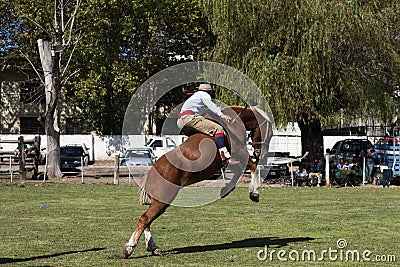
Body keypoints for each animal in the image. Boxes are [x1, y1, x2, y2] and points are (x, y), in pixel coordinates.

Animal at [123, 105, 274, 258]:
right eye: (269, 134)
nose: (260, 153)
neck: (233, 123)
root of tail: (151, 174)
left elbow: (239, 172)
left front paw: (226, 190)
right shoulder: (240, 152)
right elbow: (253, 167)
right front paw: (254, 193)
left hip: (159, 202)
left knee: (147, 221)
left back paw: (153, 247)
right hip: (161, 202)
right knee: (145, 219)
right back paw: (129, 248)